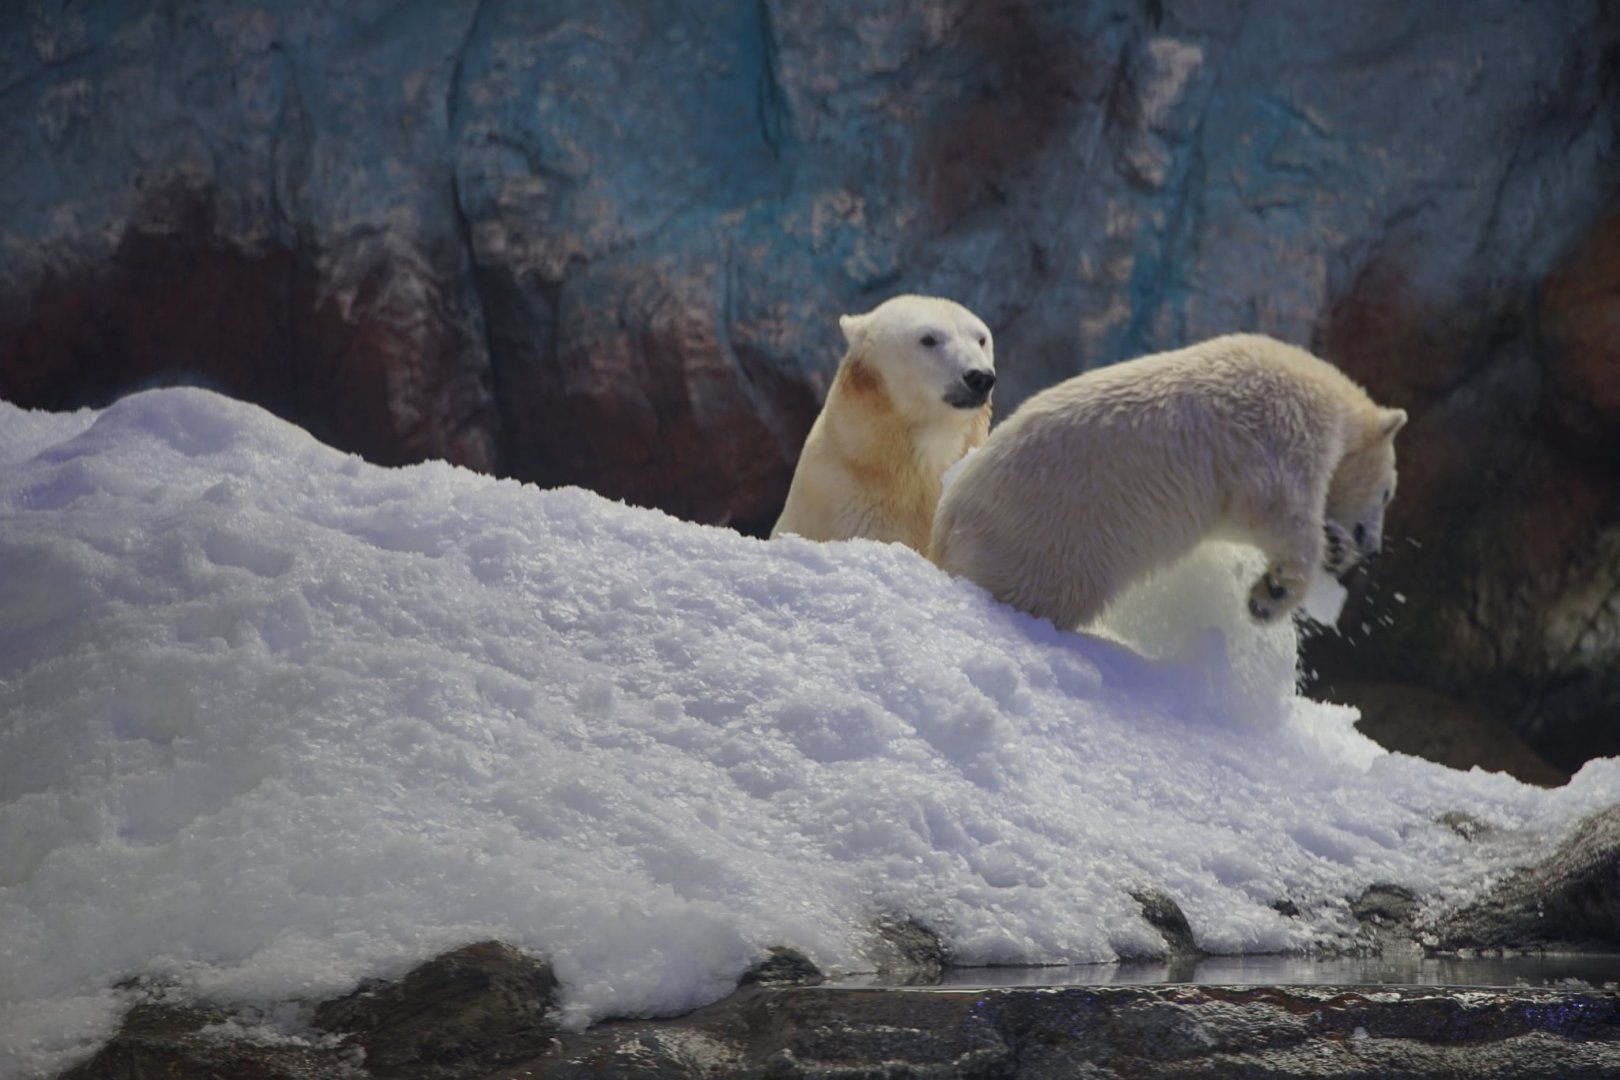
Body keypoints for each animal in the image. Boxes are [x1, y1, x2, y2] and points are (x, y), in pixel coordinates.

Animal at [930, 333, 1406, 630]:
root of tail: (947, 515)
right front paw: (1271, 595)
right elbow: (1280, 510)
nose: (1372, 545)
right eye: (1388, 493)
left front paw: (1335, 544)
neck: (1336, 403)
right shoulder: (1282, 430)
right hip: (1048, 538)